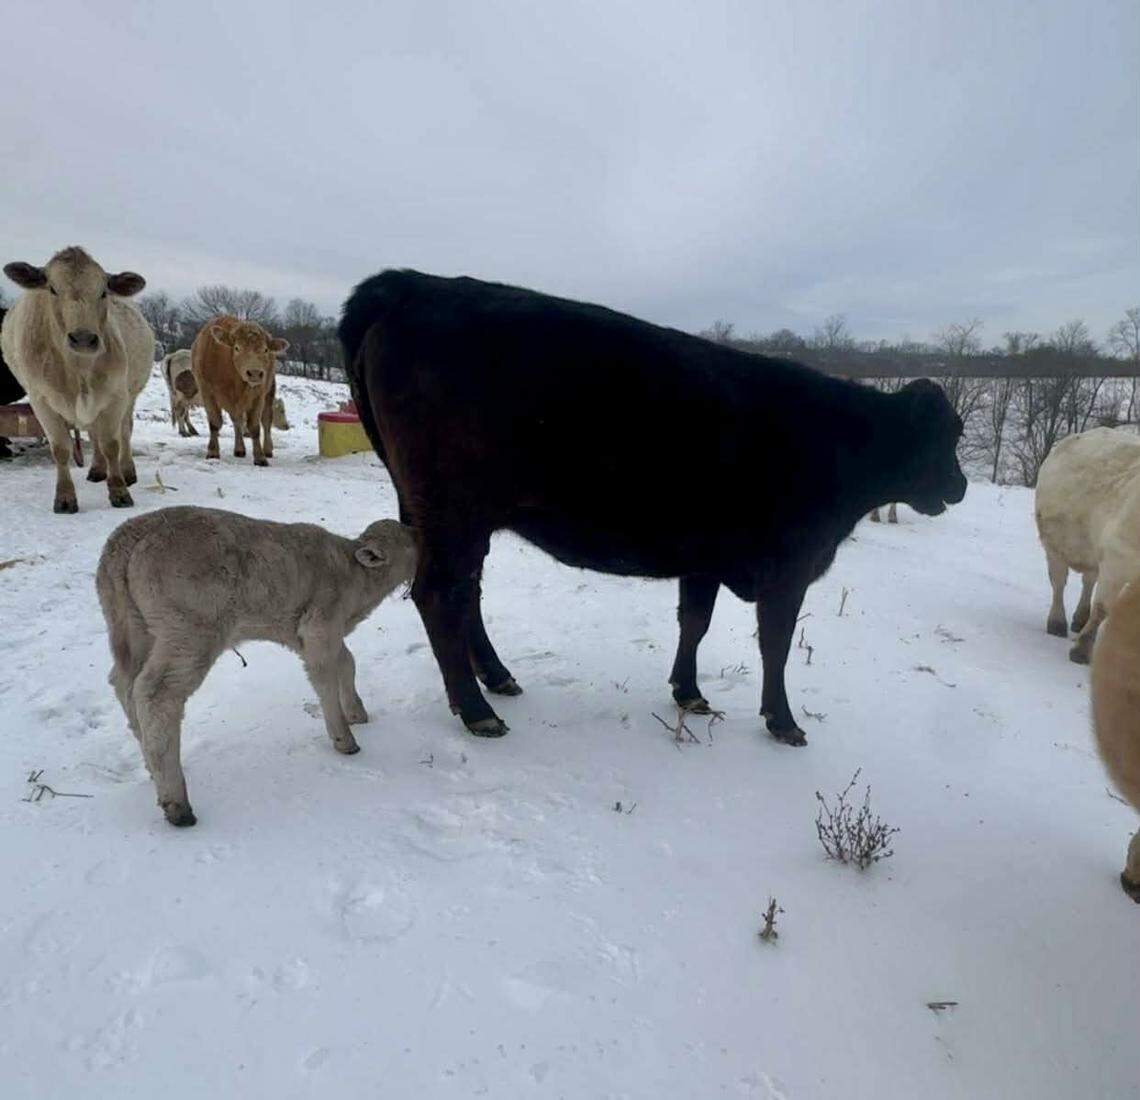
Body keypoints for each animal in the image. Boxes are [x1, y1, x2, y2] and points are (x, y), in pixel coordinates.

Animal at [1, 247, 153, 511]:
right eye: (52, 288)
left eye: (103, 291)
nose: (83, 338)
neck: (78, 369)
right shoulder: (41, 400)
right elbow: (61, 448)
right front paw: (64, 497)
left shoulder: (116, 395)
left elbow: (112, 443)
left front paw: (119, 490)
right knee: (94, 433)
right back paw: (97, 470)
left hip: (130, 394)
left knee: (124, 432)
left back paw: (127, 471)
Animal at [96, 507, 417, 826]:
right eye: (411, 542)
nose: (420, 533)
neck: (357, 578)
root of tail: (128, 540)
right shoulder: (320, 625)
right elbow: (325, 677)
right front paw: (343, 738)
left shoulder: (320, 633)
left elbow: (347, 662)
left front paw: (356, 712)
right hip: (189, 629)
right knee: (156, 693)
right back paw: (177, 804)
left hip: (132, 626)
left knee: (124, 683)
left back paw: (152, 767)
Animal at [190, 316, 288, 465]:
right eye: (237, 348)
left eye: (265, 350)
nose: (255, 373)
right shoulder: (207, 392)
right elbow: (215, 423)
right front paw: (213, 452)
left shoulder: (258, 395)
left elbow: (254, 427)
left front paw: (260, 457)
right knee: (237, 421)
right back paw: (239, 449)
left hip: (269, 390)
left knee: (266, 421)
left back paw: (267, 449)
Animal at [339, 270, 967, 744]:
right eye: (946, 436)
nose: (961, 485)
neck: (839, 445)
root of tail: (413, 284)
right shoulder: (789, 568)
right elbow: (776, 645)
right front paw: (783, 721)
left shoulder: (705, 558)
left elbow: (695, 622)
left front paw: (689, 692)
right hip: (453, 511)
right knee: (439, 595)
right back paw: (477, 711)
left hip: (459, 517)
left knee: (465, 593)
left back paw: (497, 679)